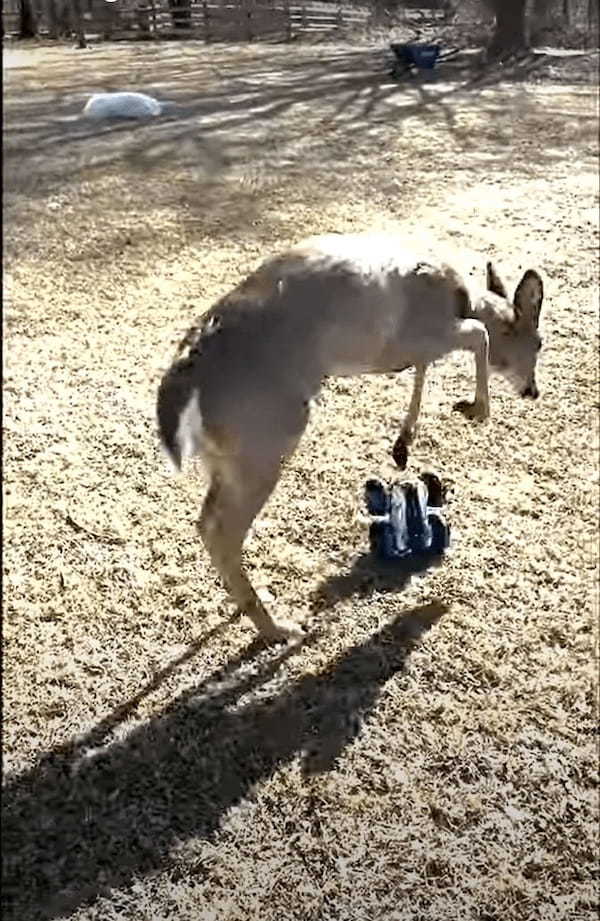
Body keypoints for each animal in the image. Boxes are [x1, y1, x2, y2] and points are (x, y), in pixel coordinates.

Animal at [156, 234, 544, 644]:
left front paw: (403, 445)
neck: (461, 298)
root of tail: (188, 382)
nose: (532, 390)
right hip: (265, 438)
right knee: (222, 529)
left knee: (206, 519)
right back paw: (278, 627)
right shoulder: (423, 333)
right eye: (538, 343)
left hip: (225, 457)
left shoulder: (418, 346)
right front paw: (475, 409)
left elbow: (426, 366)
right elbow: (477, 336)